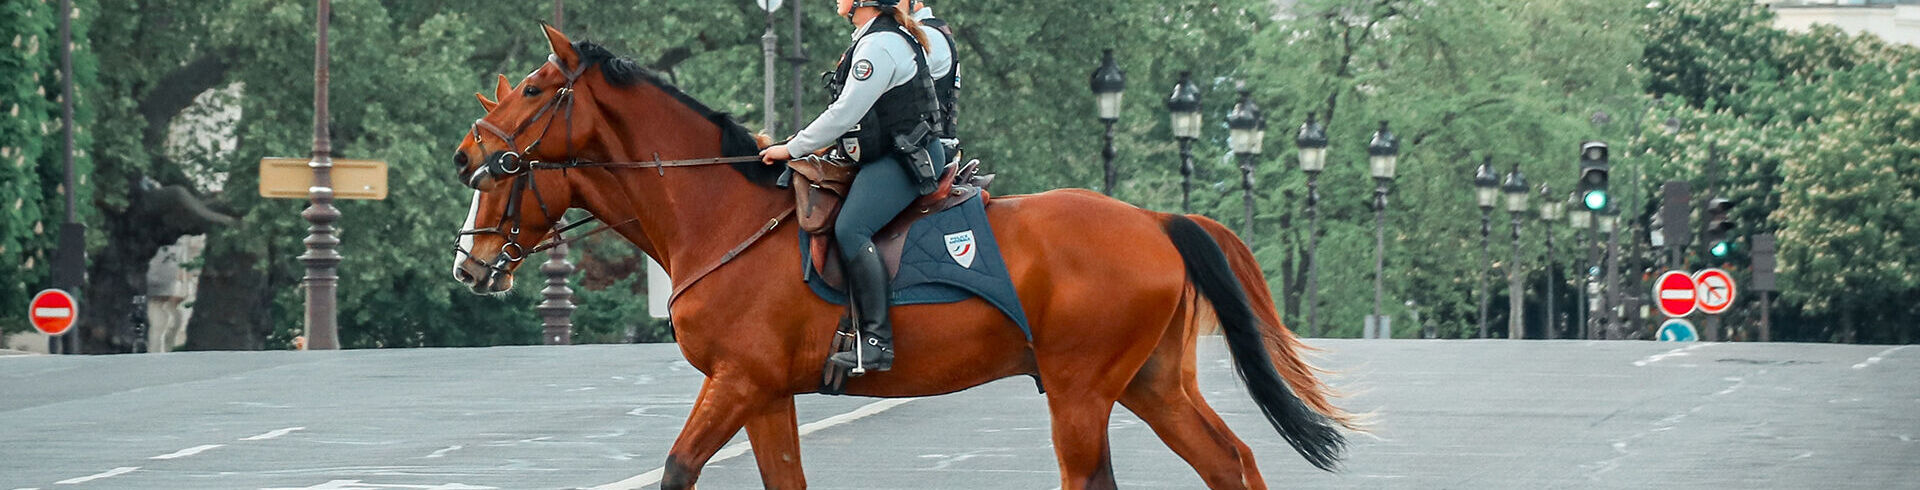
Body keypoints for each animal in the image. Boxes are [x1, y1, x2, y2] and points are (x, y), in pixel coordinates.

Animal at [451, 26, 1359, 490]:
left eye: (532, 92)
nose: (468, 158)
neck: (722, 215)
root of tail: (1155, 220)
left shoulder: (737, 382)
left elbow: (676, 470)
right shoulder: (765, 393)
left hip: (1081, 392)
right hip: (1150, 384)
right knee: (1232, 463)